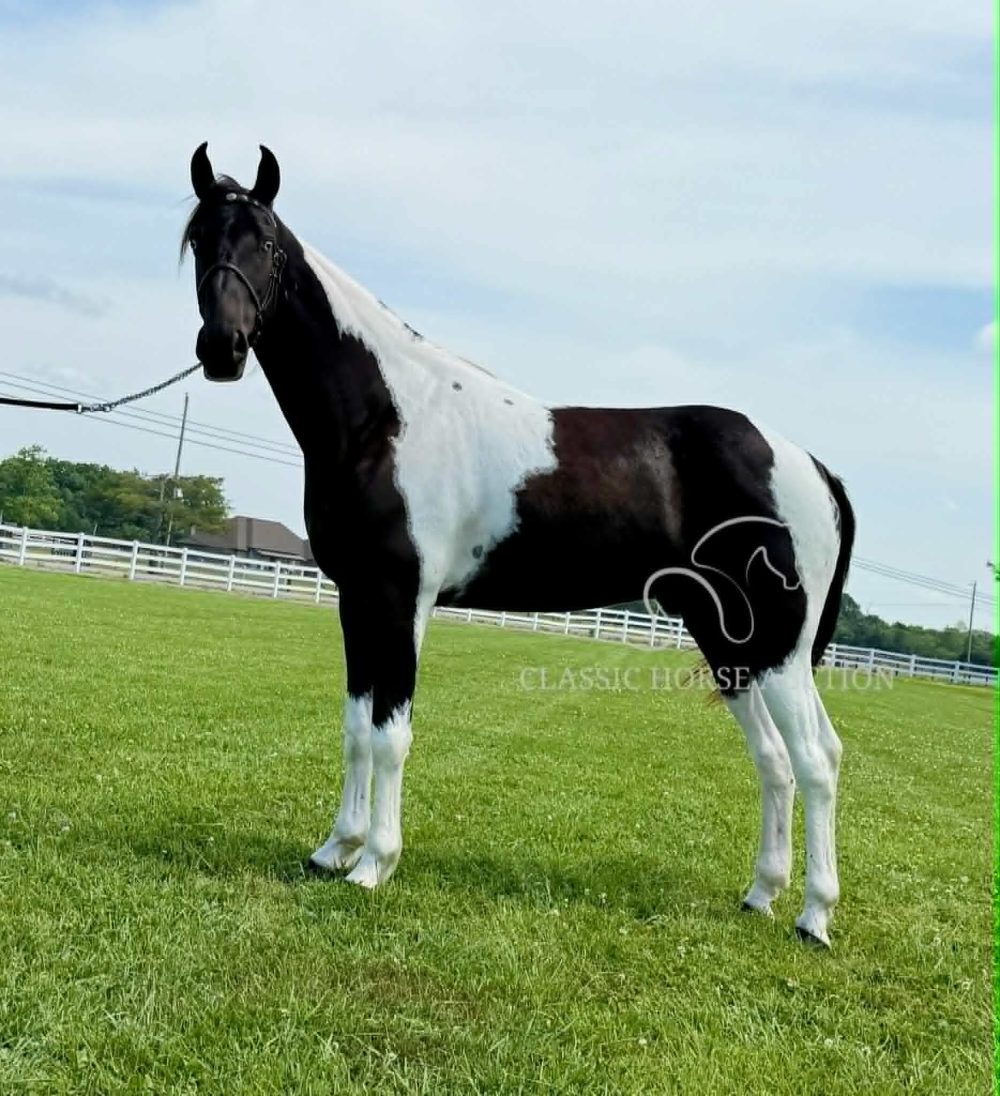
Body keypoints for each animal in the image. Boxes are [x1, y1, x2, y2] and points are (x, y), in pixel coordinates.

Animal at [183, 143, 855, 947]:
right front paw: (333, 849)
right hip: (731, 644)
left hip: (780, 647)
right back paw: (762, 893)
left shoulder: (401, 601)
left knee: (816, 760)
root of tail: (811, 465)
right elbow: (354, 728)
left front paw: (374, 864)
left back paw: (814, 915)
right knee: (775, 760)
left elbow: (390, 734)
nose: (222, 348)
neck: (386, 417)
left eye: (269, 245)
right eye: (198, 240)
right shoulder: (356, 602)